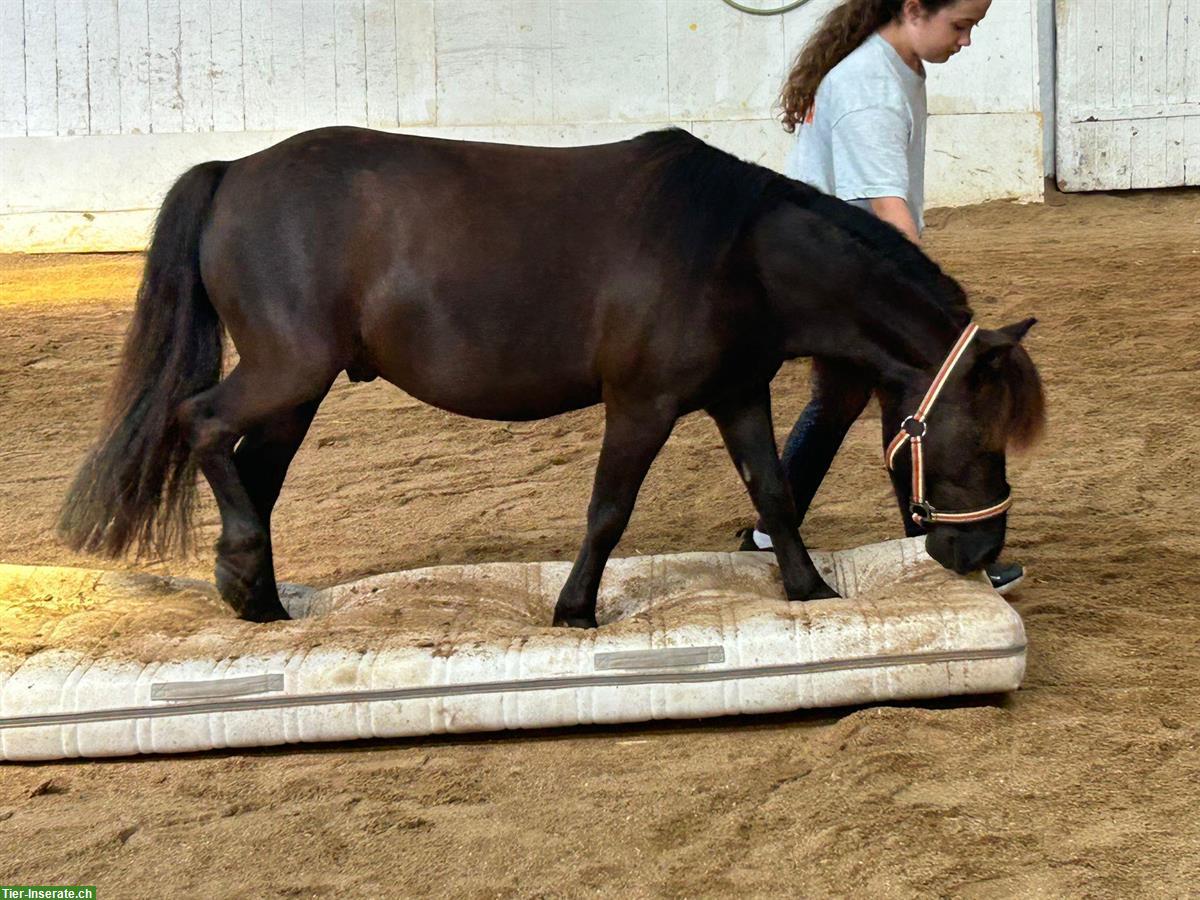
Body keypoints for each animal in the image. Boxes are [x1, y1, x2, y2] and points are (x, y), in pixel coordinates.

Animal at [56, 128, 1041, 628]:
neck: (739, 253)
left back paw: (253, 592)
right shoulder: (642, 405)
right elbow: (609, 510)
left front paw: (810, 591)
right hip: (287, 368)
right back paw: (246, 580)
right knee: (200, 423)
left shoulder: (737, 396)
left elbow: (773, 491)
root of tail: (231, 173)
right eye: (981, 434)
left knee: (252, 468)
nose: (981, 557)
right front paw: (574, 610)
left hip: (300, 386)